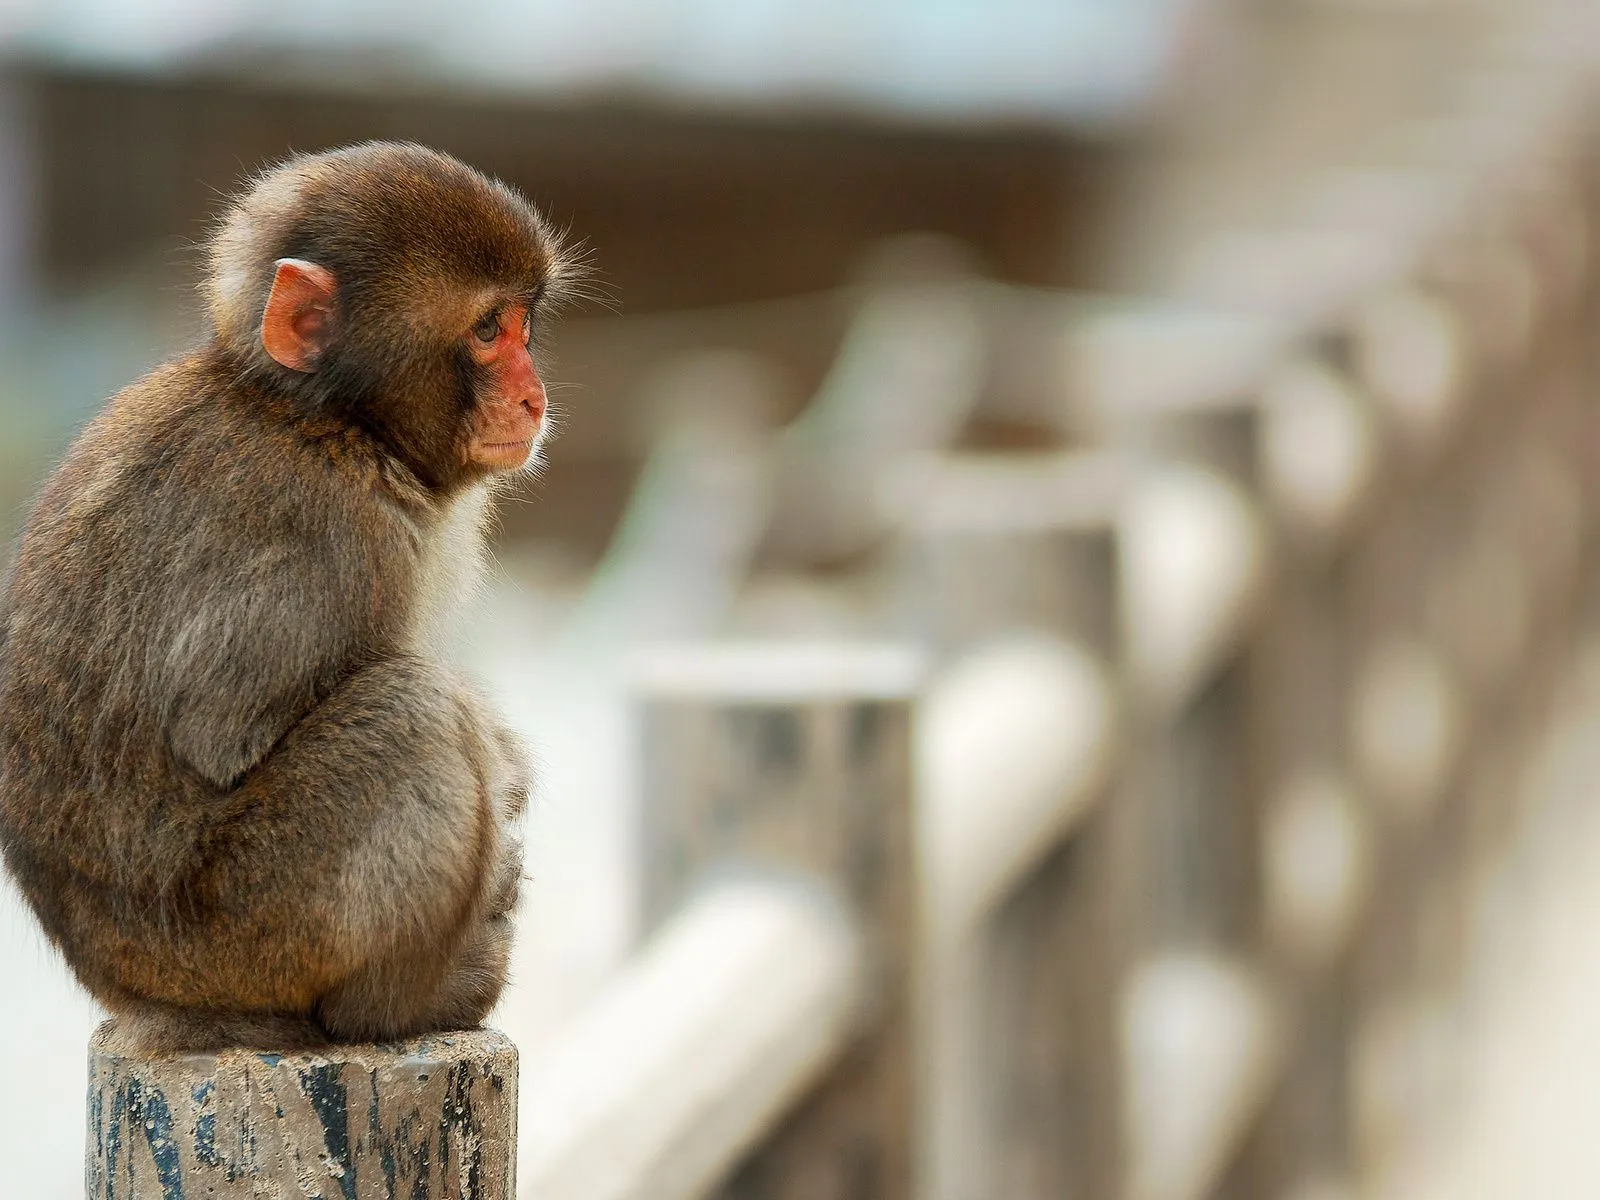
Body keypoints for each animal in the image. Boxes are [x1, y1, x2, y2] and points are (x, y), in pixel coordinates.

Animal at [0, 143, 582, 1062]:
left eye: (523, 324)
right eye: (488, 330)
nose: (534, 397)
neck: (325, 420)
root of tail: (143, 1000)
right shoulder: (328, 533)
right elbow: (224, 735)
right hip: (247, 936)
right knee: (411, 710)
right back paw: (403, 1005)